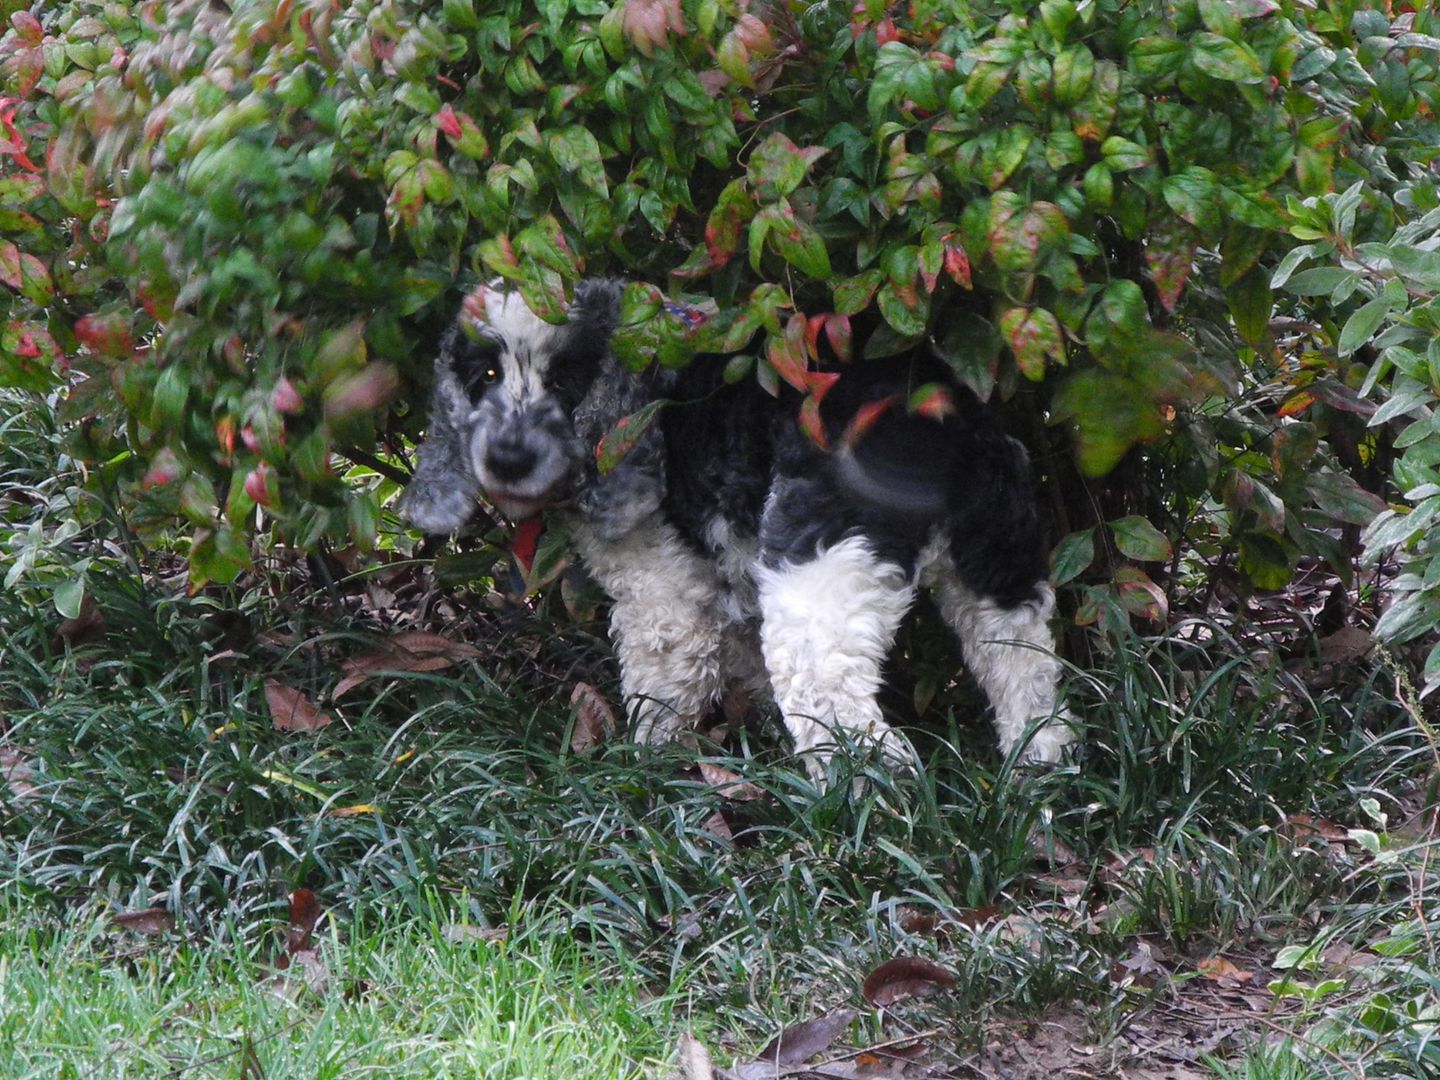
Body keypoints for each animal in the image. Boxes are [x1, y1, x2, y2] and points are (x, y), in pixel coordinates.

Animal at [400, 280, 1077, 777]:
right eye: (484, 377)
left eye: (565, 380)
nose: (508, 459)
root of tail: (937, 424)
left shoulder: (666, 592)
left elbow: (661, 679)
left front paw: (642, 762)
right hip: (997, 559)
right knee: (1023, 665)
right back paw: (1039, 772)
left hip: (817, 586)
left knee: (846, 715)